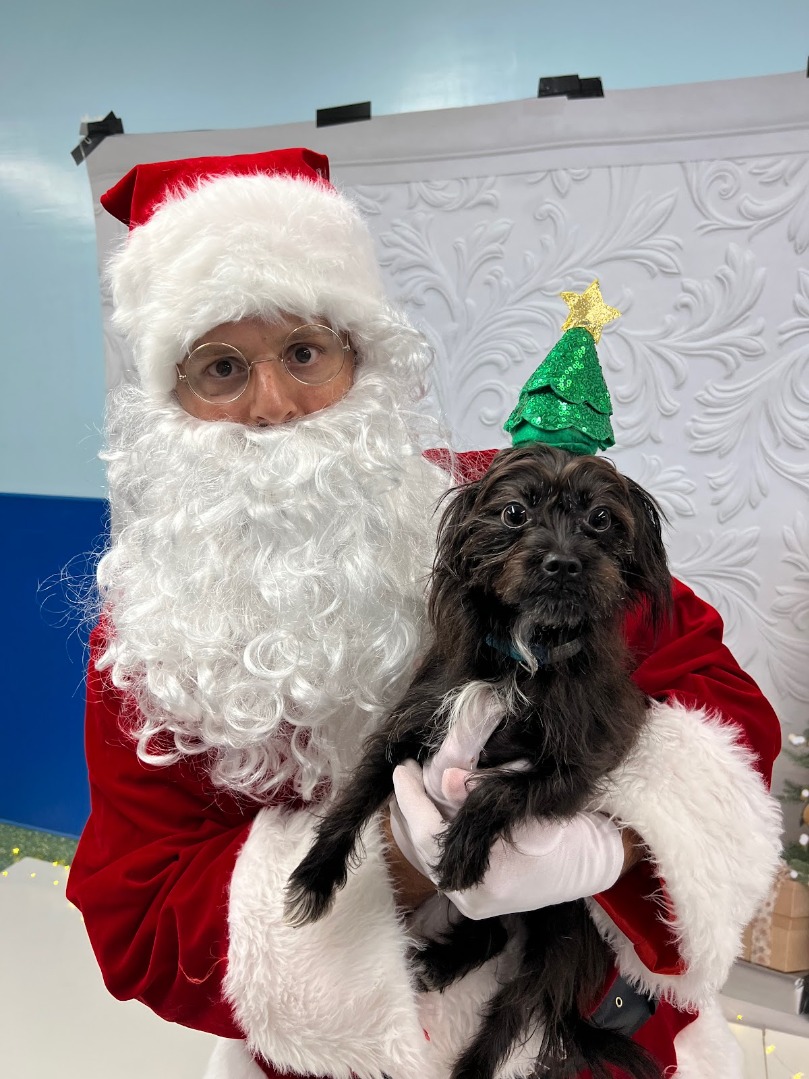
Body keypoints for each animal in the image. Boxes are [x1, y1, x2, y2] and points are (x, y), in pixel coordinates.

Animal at [285, 442, 672, 1079]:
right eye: (515, 513)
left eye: (600, 520)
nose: (563, 563)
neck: (523, 655)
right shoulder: (410, 726)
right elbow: (356, 795)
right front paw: (313, 878)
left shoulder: (580, 765)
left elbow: (502, 789)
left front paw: (464, 848)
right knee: (491, 937)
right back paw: (434, 964)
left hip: (559, 939)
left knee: (508, 1018)